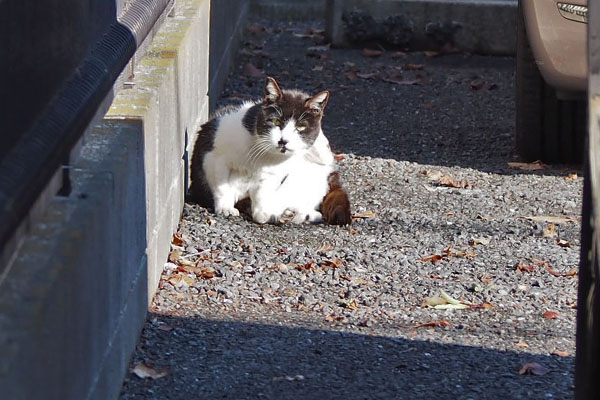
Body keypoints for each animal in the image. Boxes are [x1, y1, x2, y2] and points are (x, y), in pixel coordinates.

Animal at [190, 76, 352, 225]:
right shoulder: (214, 156)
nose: (283, 141)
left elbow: (262, 196)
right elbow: (221, 186)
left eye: (300, 127)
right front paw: (225, 208)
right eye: (276, 121)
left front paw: (264, 213)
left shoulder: (270, 175)